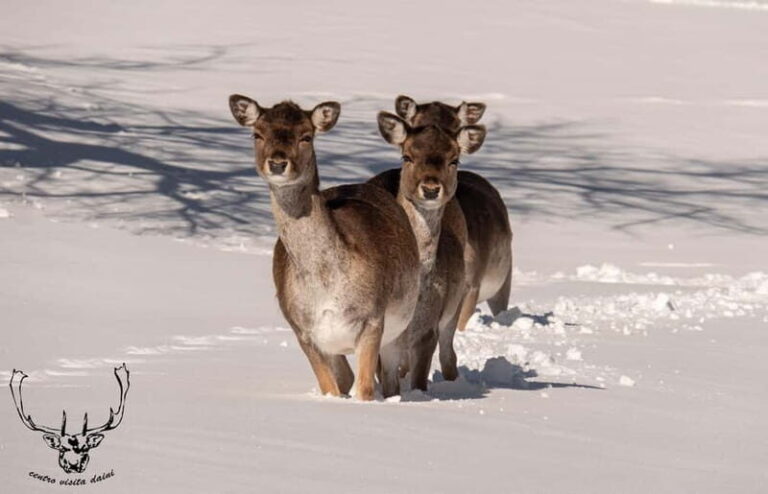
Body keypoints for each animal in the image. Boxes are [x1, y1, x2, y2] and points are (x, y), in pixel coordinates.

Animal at [228, 95, 421, 400]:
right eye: (257, 134)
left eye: (306, 136)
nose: (278, 163)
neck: (326, 284)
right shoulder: (304, 331)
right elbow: (331, 388)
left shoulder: (372, 319)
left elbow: (365, 389)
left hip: (399, 325)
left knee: (390, 379)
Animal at [370, 112, 486, 390]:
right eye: (407, 156)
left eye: (454, 159)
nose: (431, 188)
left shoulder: (428, 328)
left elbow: (420, 379)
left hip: (455, 303)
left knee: (449, 354)